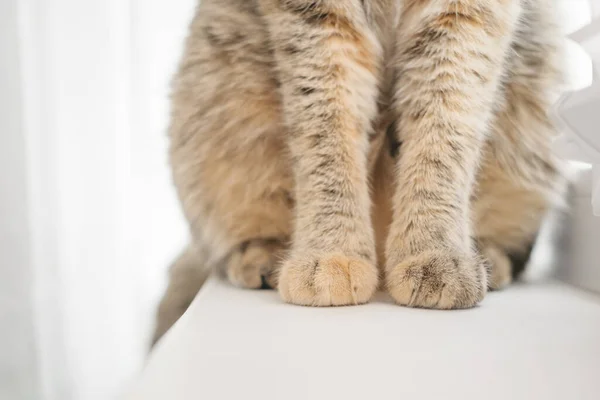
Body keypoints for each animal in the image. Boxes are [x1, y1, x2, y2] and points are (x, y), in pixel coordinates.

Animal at [150, 0, 568, 344]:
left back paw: (490, 259)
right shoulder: (319, 23)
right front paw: (331, 253)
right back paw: (264, 256)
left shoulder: (467, 20)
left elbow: (442, 136)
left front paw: (435, 251)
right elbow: (329, 142)